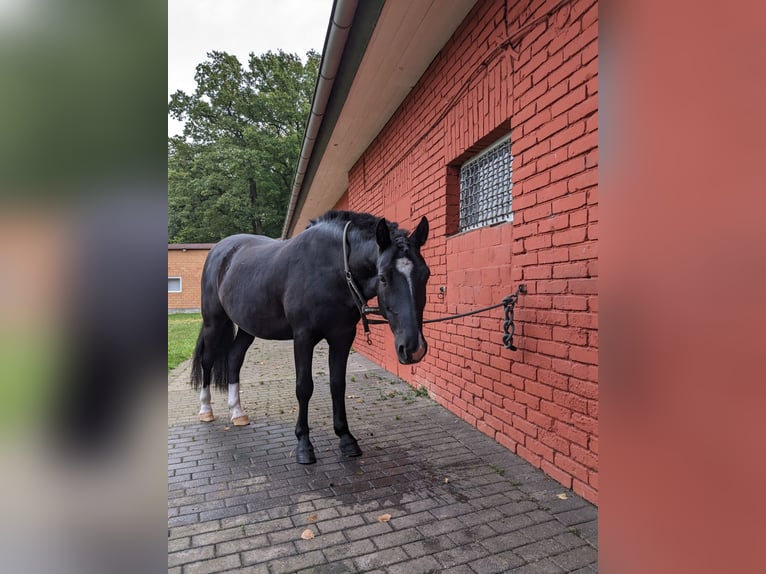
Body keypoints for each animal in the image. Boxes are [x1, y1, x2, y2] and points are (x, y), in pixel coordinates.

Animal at [190, 210, 430, 464]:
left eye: (426, 274)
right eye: (383, 277)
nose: (414, 348)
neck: (332, 269)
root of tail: (220, 250)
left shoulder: (342, 337)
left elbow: (338, 385)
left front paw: (346, 438)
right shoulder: (303, 338)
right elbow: (304, 388)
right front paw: (304, 445)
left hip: (248, 327)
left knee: (234, 358)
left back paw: (237, 413)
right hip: (214, 322)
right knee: (208, 361)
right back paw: (206, 410)